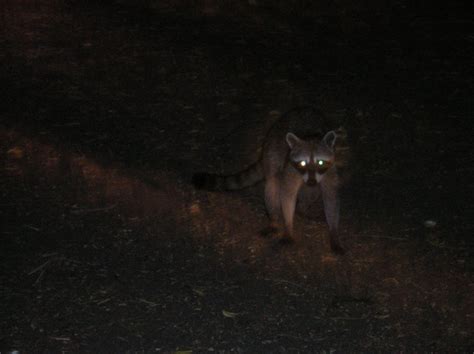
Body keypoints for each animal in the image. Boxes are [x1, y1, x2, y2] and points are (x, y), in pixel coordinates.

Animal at [194, 106, 346, 253]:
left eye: (320, 162)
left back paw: (303, 208)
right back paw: (274, 219)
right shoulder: (290, 168)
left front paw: (334, 232)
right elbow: (287, 195)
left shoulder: (330, 171)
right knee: (273, 184)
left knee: (312, 191)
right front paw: (288, 226)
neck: (311, 137)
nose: (312, 181)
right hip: (272, 151)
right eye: (303, 163)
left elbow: (331, 197)